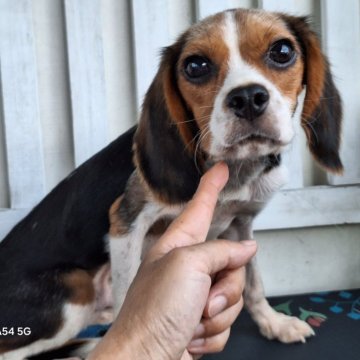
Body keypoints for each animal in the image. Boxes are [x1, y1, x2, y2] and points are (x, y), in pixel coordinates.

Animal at [109, 7, 344, 346]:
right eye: (195, 66)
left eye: (282, 51)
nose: (246, 97)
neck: (235, 169)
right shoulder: (126, 220)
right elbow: (126, 291)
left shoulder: (240, 224)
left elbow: (253, 283)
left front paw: (274, 323)